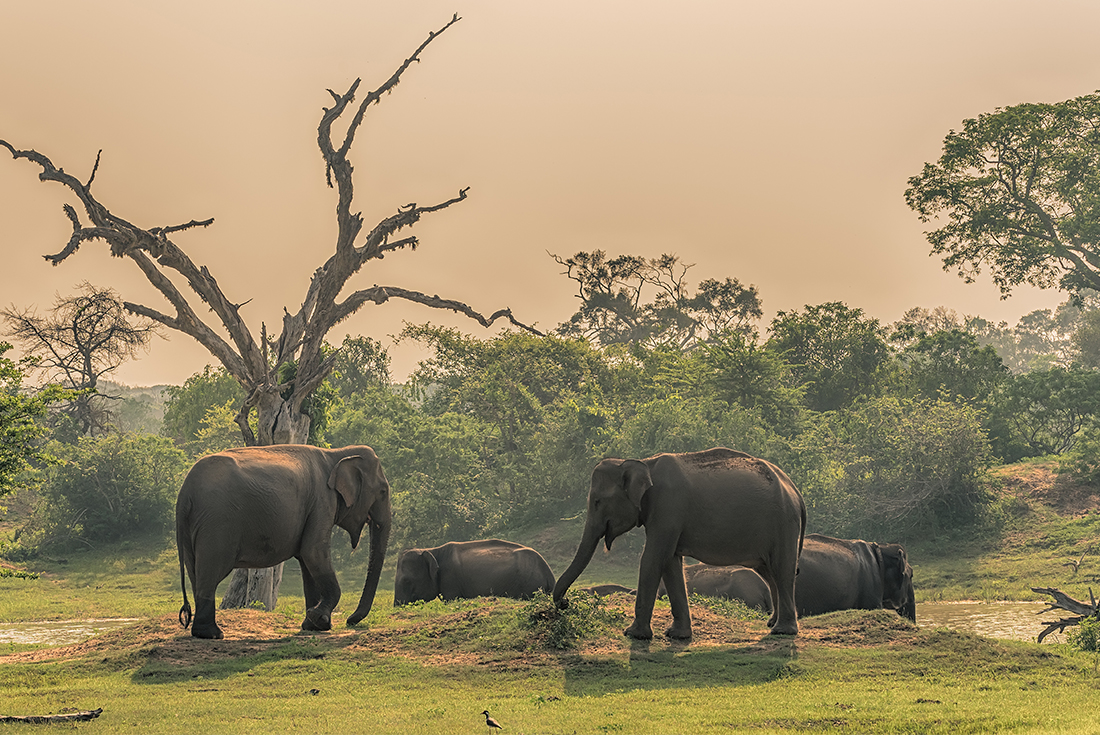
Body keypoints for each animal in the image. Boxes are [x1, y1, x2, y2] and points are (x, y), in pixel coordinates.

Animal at [176, 442, 391, 638]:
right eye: (383, 491)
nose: (350, 620)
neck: (336, 454)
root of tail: (184, 492)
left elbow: (307, 560)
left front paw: (313, 625)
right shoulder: (322, 501)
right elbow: (313, 552)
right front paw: (319, 619)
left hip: (194, 526)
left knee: (196, 572)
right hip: (217, 524)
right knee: (211, 572)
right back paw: (212, 634)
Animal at [554, 444, 805, 638]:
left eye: (597, 501)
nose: (565, 604)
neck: (644, 463)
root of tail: (794, 488)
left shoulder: (668, 506)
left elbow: (653, 558)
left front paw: (633, 634)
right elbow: (670, 562)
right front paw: (677, 635)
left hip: (783, 523)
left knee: (782, 568)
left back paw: (782, 631)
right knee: (768, 571)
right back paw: (772, 623)